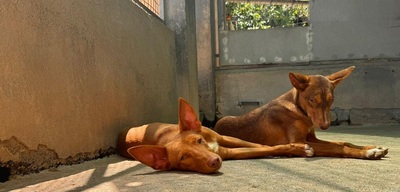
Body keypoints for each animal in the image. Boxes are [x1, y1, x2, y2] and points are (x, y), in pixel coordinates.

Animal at [117, 98, 314, 173]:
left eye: (199, 140)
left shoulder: (224, 139)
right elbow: (264, 149)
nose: (214, 161)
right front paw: (296, 150)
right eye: (183, 158)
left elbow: (262, 146)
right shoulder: (228, 152)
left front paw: (293, 148)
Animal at [216, 67, 388, 160]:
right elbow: (337, 147)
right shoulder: (299, 141)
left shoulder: (311, 138)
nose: (325, 126)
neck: (299, 109)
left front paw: (372, 147)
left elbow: (343, 142)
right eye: (312, 100)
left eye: (331, 99)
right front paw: (368, 152)